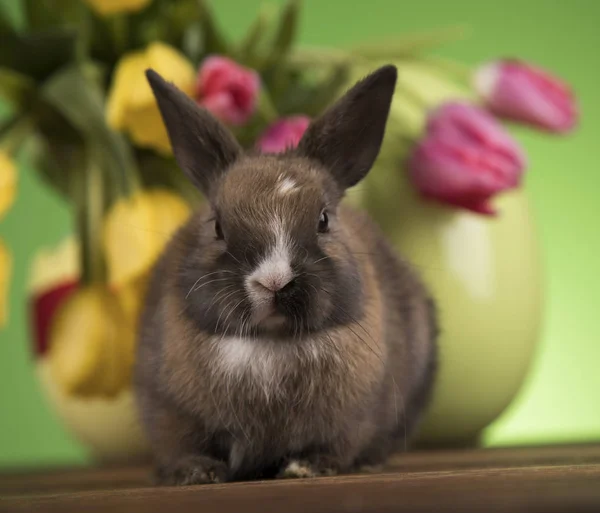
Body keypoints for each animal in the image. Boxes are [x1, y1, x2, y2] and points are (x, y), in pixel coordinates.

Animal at [134, 64, 438, 484]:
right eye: (217, 226)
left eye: (324, 220)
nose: (274, 280)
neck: (270, 344)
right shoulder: (167, 410)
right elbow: (179, 444)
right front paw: (197, 472)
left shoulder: (354, 418)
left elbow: (337, 444)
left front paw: (306, 467)